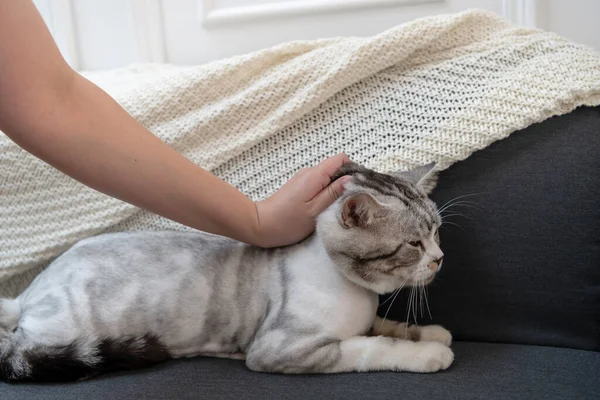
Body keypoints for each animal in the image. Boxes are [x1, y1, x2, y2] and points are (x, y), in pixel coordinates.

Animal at [0, 162, 450, 382]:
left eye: (436, 232)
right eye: (414, 244)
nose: (440, 257)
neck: (358, 293)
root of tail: (27, 293)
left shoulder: (369, 317)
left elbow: (387, 326)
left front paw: (429, 333)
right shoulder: (279, 347)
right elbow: (370, 346)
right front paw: (427, 353)